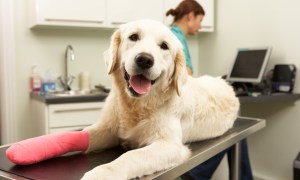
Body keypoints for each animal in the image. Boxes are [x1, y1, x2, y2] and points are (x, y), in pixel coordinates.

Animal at [81, 19, 239, 179]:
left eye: (164, 46)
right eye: (133, 37)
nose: (144, 60)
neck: (137, 105)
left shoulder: (170, 145)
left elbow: (131, 156)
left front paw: (100, 174)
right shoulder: (107, 129)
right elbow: (86, 134)